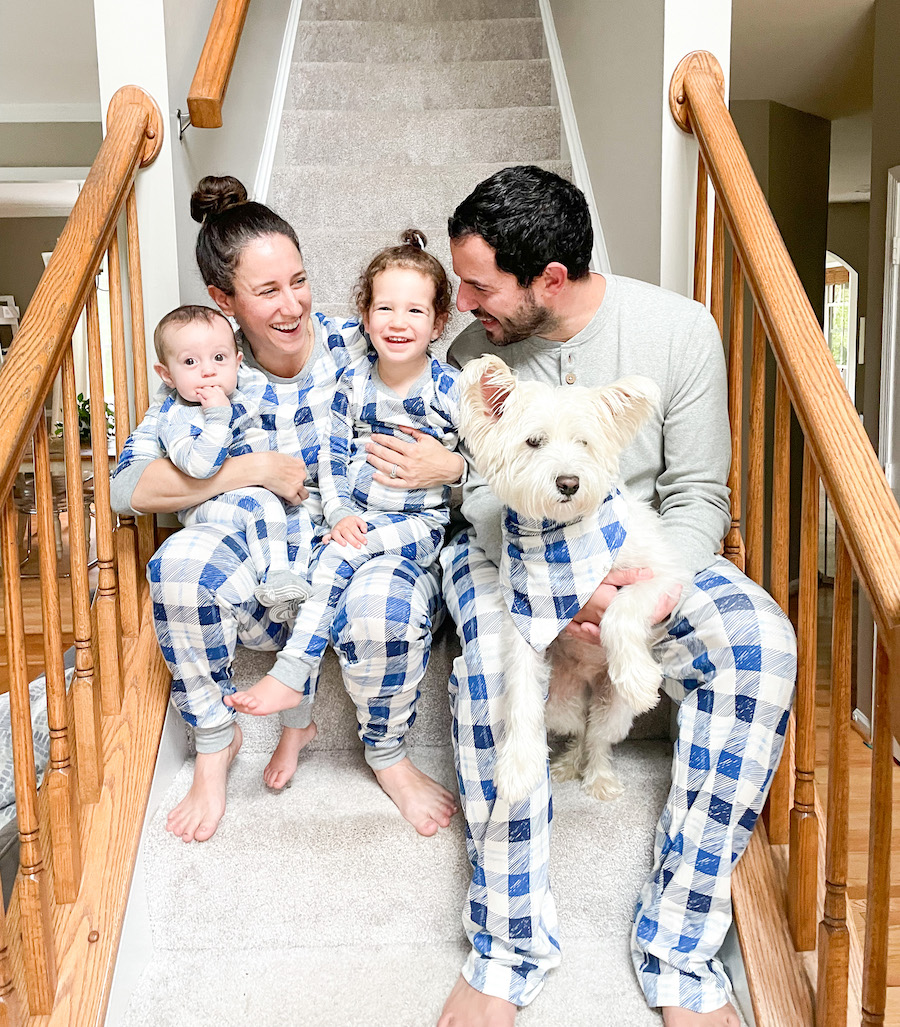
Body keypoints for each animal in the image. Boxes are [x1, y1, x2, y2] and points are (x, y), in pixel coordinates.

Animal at [460, 357, 694, 805]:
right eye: (534, 441)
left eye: (584, 443)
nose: (569, 482)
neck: (561, 536)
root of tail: (587, 684)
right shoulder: (526, 621)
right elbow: (520, 693)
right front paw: (518, 766)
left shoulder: (663, 578)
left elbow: (621, 608)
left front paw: (638, 677)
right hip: (561, 704)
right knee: (580, 732)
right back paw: (569, 764)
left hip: (614, 709)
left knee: (599, 738)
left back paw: (598, 776)